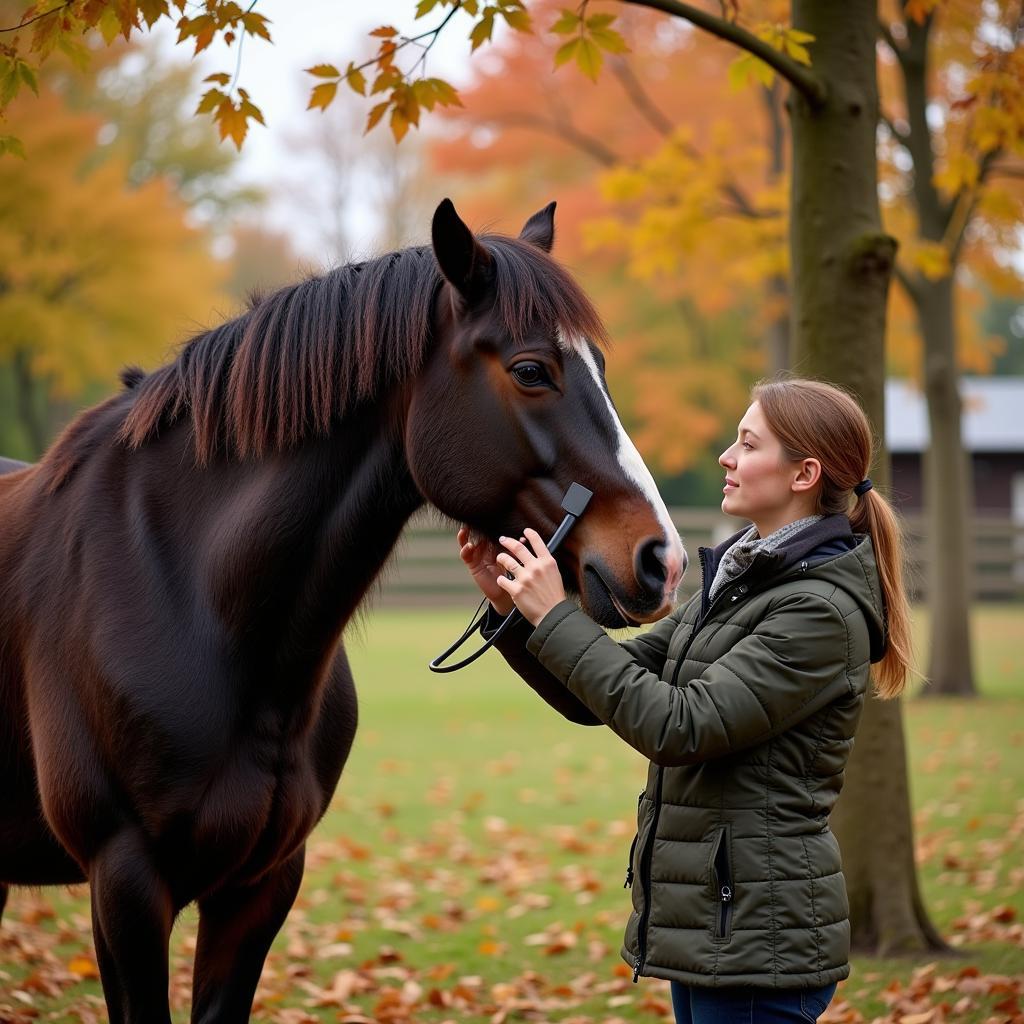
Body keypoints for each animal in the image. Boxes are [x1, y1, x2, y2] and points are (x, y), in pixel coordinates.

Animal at [2, 195, 688, 1019]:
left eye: (601, 369)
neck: (190, 600)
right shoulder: (125, 887)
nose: (662, 560)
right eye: (531, 371)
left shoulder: (261, 886)